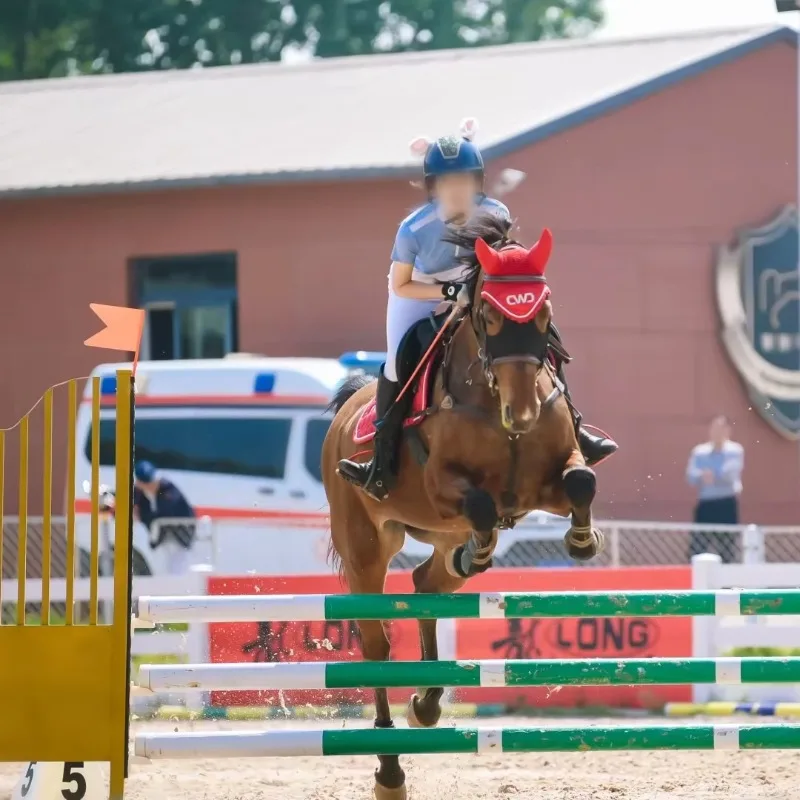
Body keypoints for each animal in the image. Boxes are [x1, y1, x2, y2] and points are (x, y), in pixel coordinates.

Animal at [321, 213, 604, 800]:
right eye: (490, 317)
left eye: (544, 314)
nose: (521, 415)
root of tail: (345, 409)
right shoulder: (442, 485)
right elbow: (479, 501)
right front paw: (487, 541)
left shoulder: (549, 482)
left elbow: (582, 478)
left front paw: (583, 541)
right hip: (366, 546)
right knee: (377, 645)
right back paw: (390, 772)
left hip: (435, 540)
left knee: (427, 585)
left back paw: (426, 703)